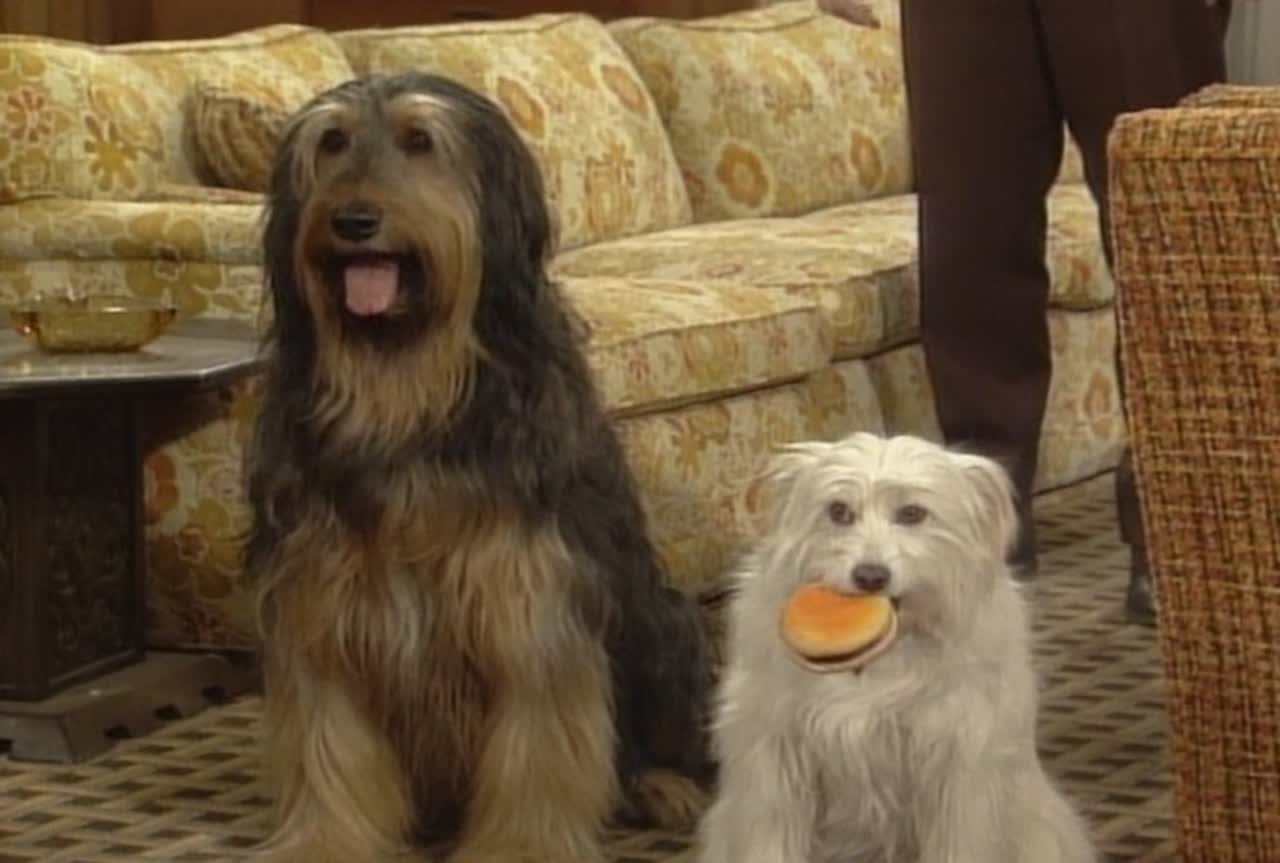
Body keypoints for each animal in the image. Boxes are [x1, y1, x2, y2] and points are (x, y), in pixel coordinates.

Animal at [244, 72, 712, 863]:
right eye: (332, 142)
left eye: (419, 141)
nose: (355, 219)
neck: (405, 391)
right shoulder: (321, 599)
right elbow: (327, 744)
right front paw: (321, 841)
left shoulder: (529, 596)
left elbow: (537, 747)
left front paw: (521, 845)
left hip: (667, 626)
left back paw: (665, 787)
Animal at [697, 432, 1096, 863]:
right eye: (838, 511)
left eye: (912, 514)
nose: (870, 576)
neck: (879, 656)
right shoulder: (774, 765)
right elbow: (770, 839)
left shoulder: (958, 774)